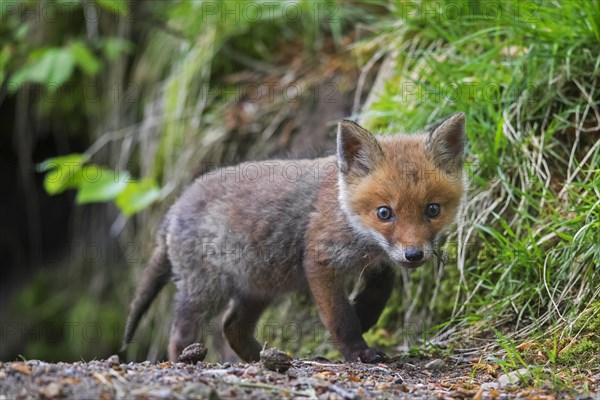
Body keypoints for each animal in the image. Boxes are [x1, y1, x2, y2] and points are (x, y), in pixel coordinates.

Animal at [123, 112, 468, 362]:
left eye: (432, 210)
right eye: (384, 213)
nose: (414, 255)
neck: (347, 217)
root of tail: (175, 206)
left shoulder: (379, 261)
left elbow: (380, 291)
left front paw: (365, 315)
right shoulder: (320, 261)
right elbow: (340, 317)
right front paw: (357, 350)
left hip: (259, 286)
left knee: (231, 327)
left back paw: (261, 357)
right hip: (205, 290)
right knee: (180, 332)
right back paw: (184, 360)